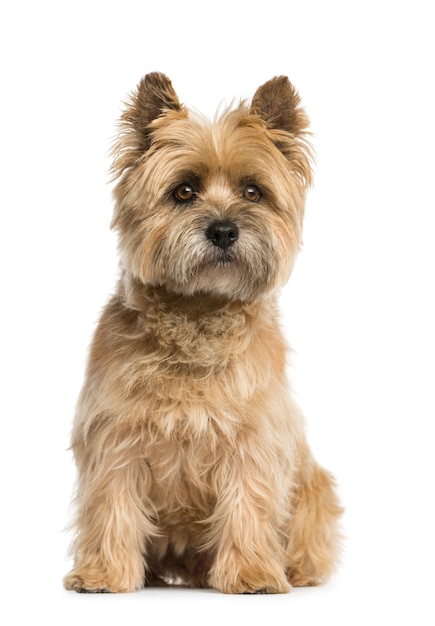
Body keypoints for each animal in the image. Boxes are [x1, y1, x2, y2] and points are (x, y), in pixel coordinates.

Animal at [63, 72, 344, 588]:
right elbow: (112, 503)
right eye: (183, 191)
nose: (224, 231)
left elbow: (247, 502)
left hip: (313, 486)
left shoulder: (254, 440)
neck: (198, 313)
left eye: (253, 192)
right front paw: (104, 573)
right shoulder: (116, 436)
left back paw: (293, 569)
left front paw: (252, 573)